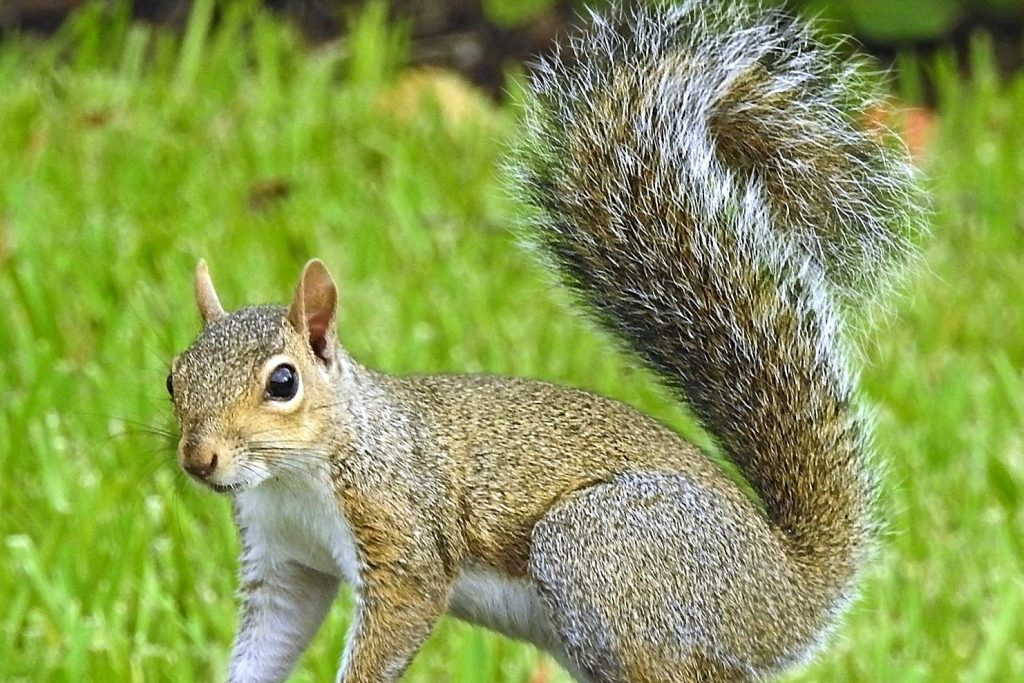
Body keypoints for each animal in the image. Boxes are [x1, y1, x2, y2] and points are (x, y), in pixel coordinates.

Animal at [166, 2, 924, 682]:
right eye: (174, 378)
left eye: (283, 381)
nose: (199, 459)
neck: (296, 472)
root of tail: (788, 594)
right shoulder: (285, 562)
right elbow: (273, 636)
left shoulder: (402, 534)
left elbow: (402, 612)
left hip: (606, 554)